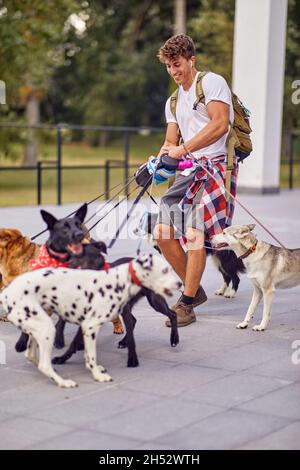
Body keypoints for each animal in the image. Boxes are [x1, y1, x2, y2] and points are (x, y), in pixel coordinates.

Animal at [14, 203, 88, 352]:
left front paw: (59, 339)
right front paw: (22, 342)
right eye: (65, 227)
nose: (80, 234)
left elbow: (61, 322)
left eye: (78, 225)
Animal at [51, 242, 179, 368]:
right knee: (134, 321)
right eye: (71, 254)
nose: (69, 264)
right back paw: (123, 342)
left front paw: (133, 359)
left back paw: (174, 339)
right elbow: (73, 342)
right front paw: (62, 358)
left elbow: (132, 339)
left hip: (154, 301)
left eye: (84, 254)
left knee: (172, 314)